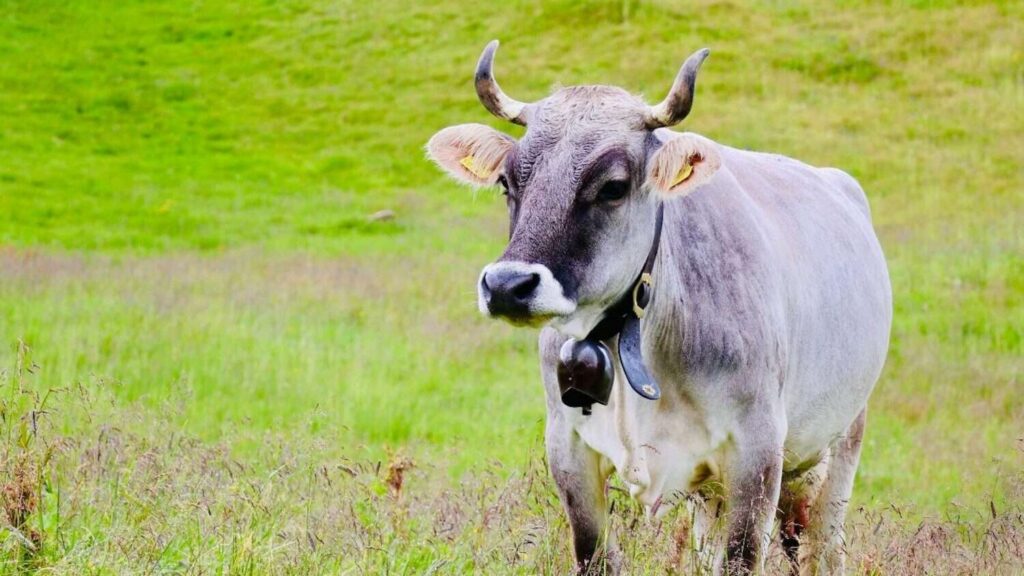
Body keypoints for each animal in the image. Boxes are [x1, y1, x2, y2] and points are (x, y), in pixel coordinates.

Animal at [427, 41, 892, 575]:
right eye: (506, 182)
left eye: (613, 186)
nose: (507, 286)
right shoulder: (567, 449)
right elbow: (594, 554)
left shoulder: (757, 452)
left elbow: (742, 557)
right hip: (713, 495)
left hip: (842, 444)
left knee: (822, 546)